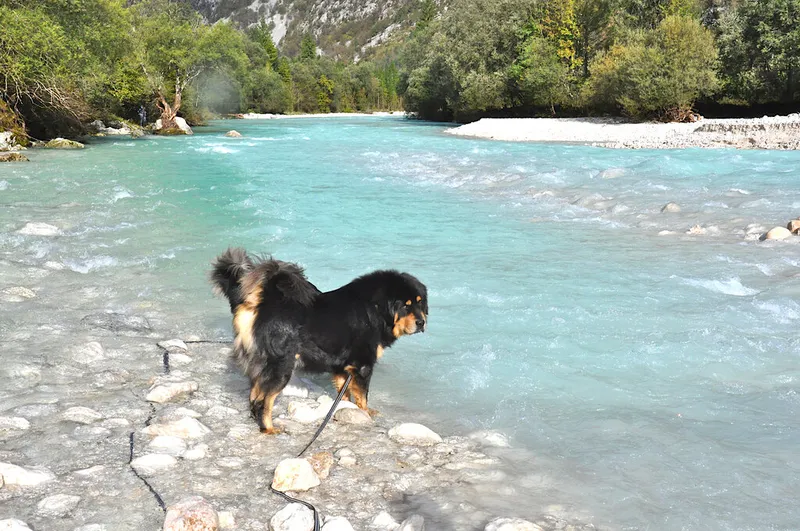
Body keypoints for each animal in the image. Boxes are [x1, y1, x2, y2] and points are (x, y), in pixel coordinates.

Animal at [210, 248, 428, 434]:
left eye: (420, 303)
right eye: (406, 306)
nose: (421, 322)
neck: (374, 309)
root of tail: (262, 302)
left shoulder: (343, 368)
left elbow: (345, 394)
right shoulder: (363, 365)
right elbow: (362, 396)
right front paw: (366, 413)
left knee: (254, 394)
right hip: (281, 366)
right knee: (265, 399)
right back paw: (268, 428)